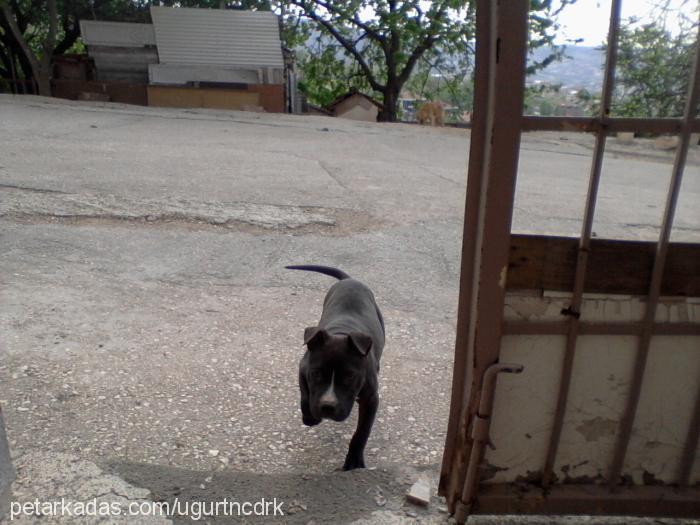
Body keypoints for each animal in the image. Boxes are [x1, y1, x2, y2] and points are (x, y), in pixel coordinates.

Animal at [288, 264, 386, 468]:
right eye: (316, 373)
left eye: (349, 376)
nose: (327, 406)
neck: (341, 333)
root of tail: (350, 280)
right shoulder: (303, 368)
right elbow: (305, 394)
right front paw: (309, 417)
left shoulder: (371, 398)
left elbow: (362, 432)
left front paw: (354, 461)